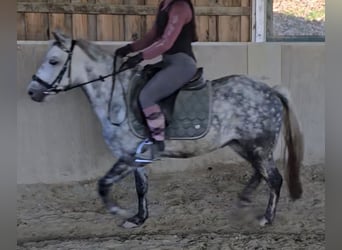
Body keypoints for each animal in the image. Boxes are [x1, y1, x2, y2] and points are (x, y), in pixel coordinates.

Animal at [27, 30, 304, 229]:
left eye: (53, 61)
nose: (32, 92)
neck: (117, 98)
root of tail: (271, 91)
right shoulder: (138, 158)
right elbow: (141, 188)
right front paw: (138, 218)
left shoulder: (128, 156)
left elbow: (103, 184)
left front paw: (118, 210)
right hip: (243, 145)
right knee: (260, 174)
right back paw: (244, 199)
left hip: (258, 147)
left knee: (274, 179)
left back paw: (266, 218)